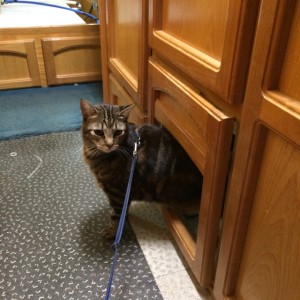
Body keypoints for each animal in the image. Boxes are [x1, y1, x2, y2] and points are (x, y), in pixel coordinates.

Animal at [79, 100, 203, 239]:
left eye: (117, 132)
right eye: (99, 132)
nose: (109, 144)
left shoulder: (117, 193)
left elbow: (116, 216)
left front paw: (112, 232)